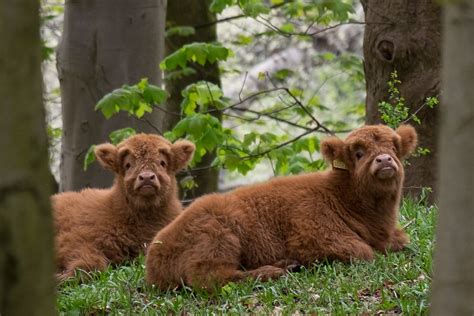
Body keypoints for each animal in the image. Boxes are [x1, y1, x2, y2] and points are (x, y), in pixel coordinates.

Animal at [146, 124, 416, 292]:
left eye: (394, 147)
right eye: (359, 153)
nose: (384, 160)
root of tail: (156, 251)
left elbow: (402, 241)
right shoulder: (315, 237)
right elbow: (364, 252)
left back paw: (286, 265)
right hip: (218, 238)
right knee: (212, 278)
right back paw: (274, 272)